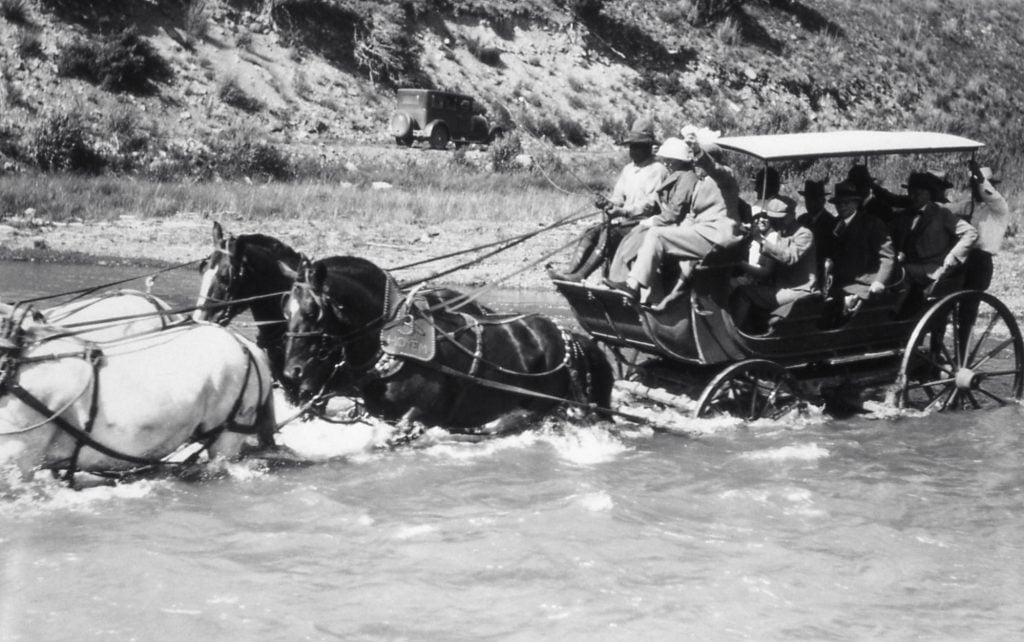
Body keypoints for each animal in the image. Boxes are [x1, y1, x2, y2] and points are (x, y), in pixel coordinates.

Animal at [280, 255, 610, 432]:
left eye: (312, 311)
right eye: (285, 311)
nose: (291, 373)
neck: (390, 341)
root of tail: (566, 335)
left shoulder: (415, 420)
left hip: (545, 408)